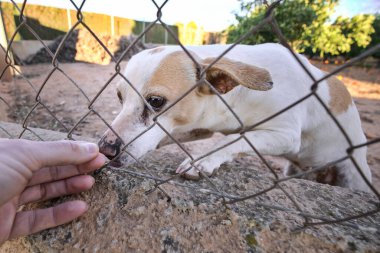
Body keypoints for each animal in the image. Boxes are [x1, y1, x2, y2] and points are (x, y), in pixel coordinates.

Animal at [98, 43, 372, 192]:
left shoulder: (286, 134)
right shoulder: (200, 127)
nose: (105, 149)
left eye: (155, 101)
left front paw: (202, 160)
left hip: (355, 175)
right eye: (120, 97)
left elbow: (234, 140)